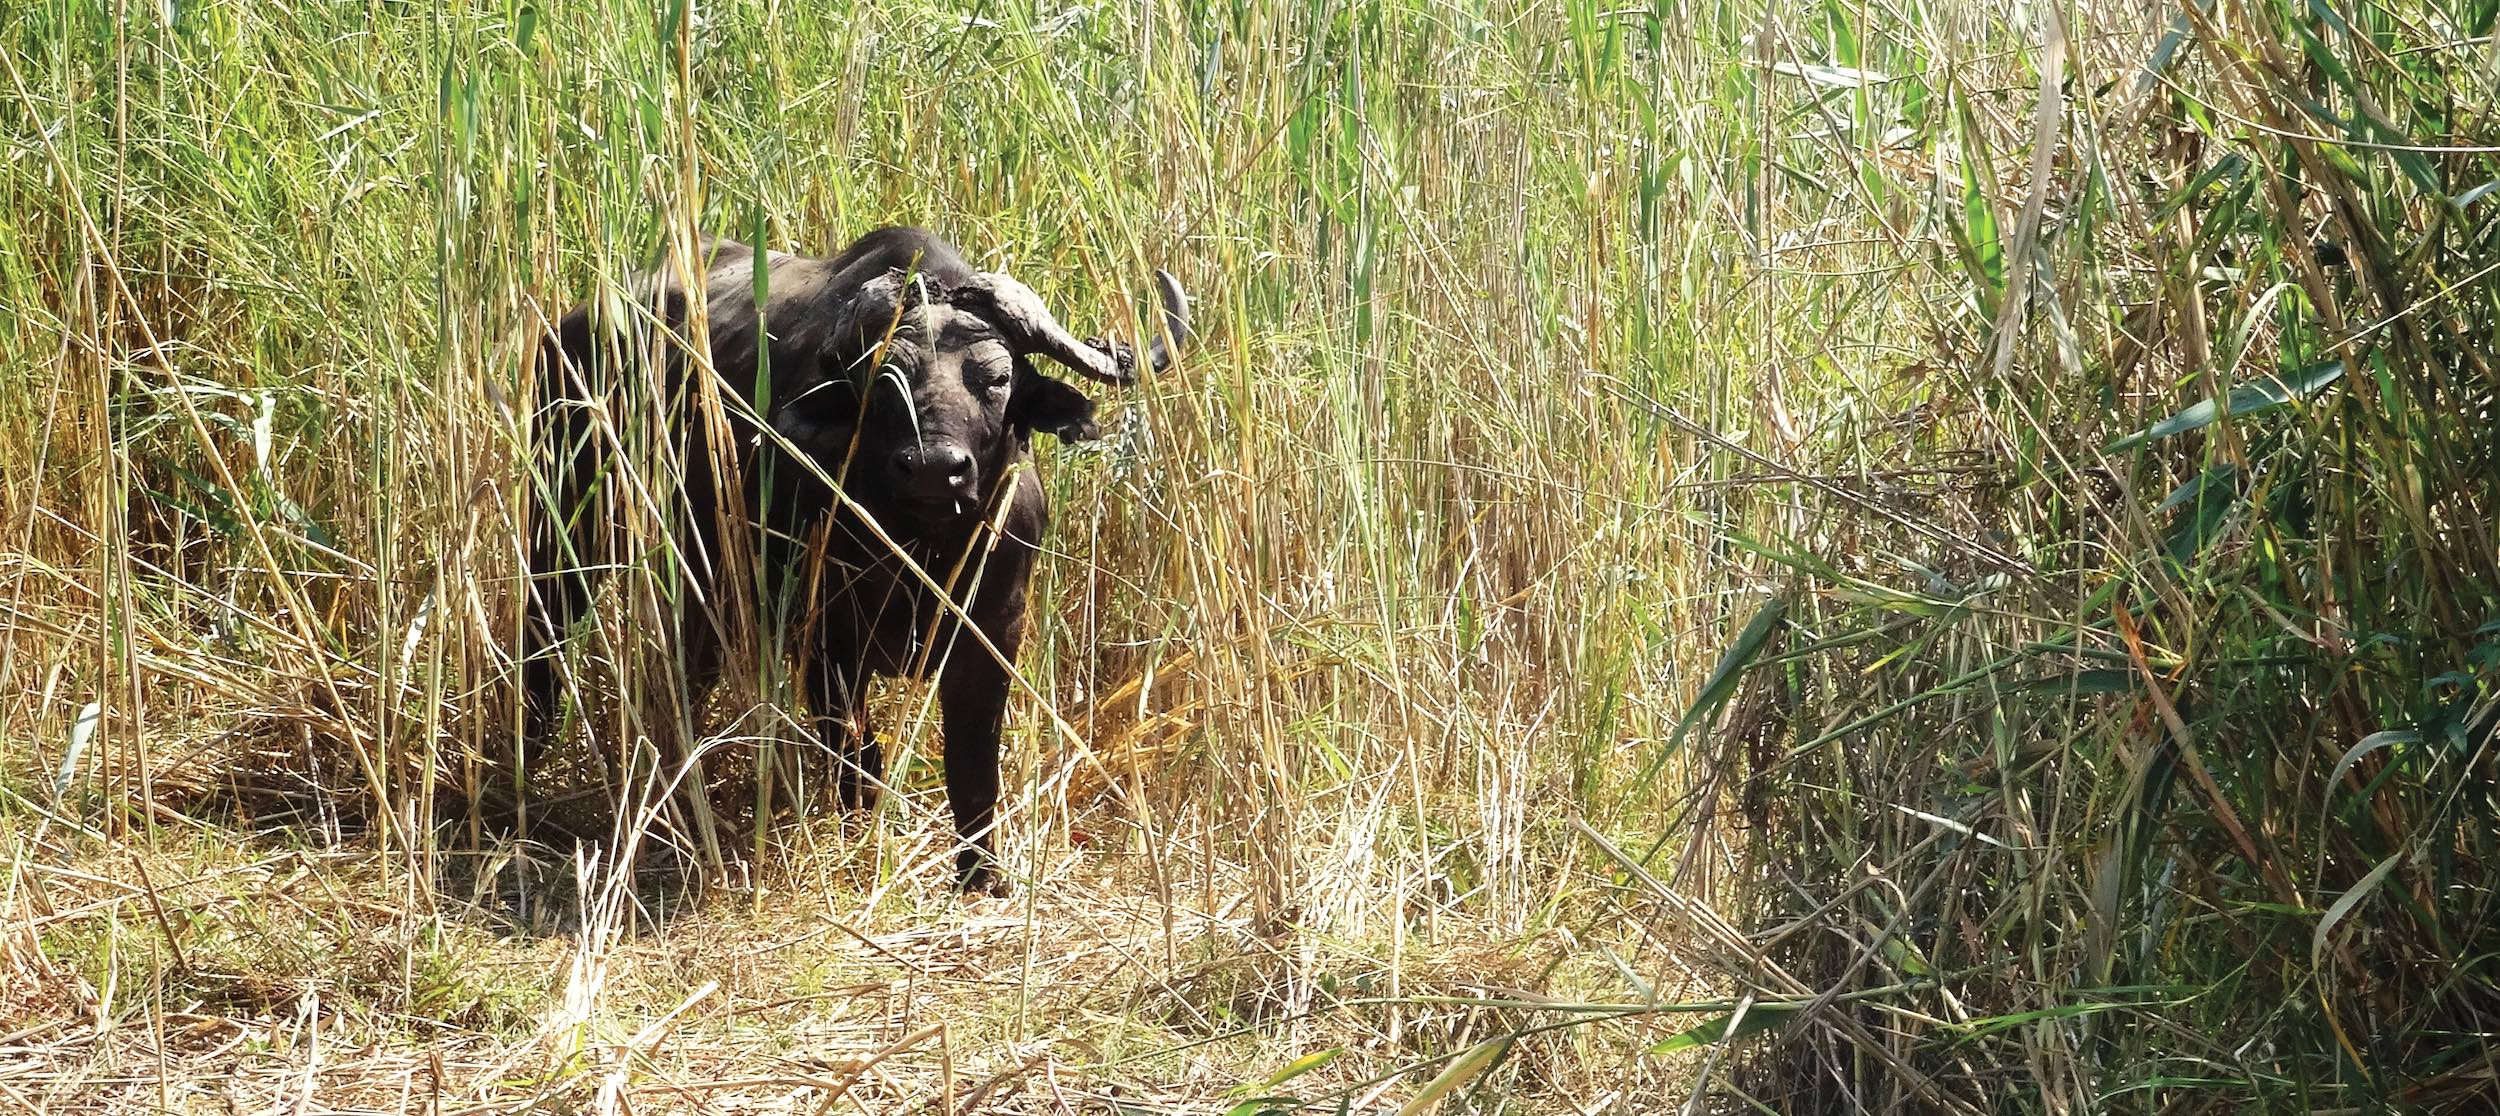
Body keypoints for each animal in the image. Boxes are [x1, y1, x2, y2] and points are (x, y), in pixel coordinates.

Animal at [522, 228, 1185, 895]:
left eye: (997, 378)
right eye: (885, 377)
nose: (934, 468)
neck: (925, 549)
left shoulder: (993, 633)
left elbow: (972, 765)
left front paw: (980, 875)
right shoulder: (827, 637)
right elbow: (855, 755)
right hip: (564, 528)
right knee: (544, 641)